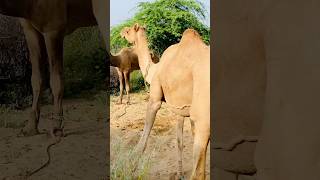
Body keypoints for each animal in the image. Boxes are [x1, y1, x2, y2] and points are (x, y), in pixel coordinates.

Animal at [0, 0, 108, 136]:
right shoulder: (30, 28)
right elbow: (36, 79)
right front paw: (30, 128)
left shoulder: (53, 28)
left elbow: (56, 80)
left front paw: (56, 128)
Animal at [120, 23, 210, 179]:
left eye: (128, 30)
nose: (121, 33)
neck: (154, 70)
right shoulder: (181, 107)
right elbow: (179, 141)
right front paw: (179, 174)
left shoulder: (155, 97)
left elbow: (145, 135)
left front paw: (129, 167)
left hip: (204, 114)